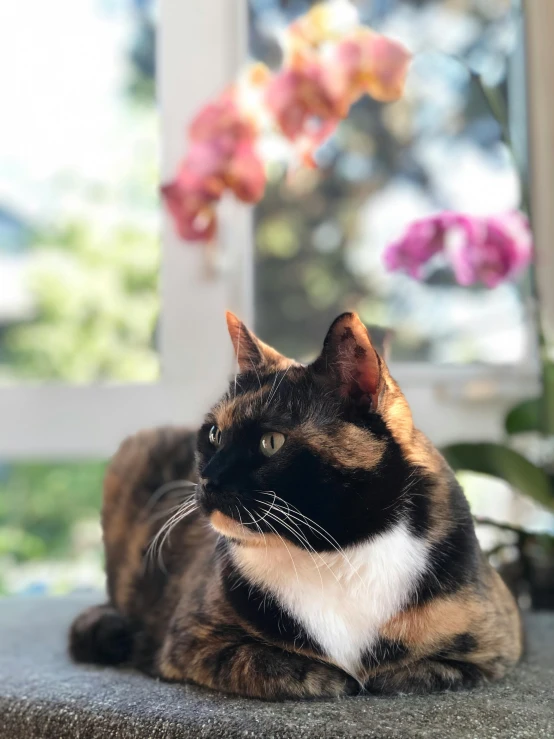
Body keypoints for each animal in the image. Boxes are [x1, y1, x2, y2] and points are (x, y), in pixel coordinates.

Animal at [67, 310, 520, 700]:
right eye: (213, 434)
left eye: (272, 441)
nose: (208, 480)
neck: (333, 554)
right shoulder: (191, 639)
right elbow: (272, 665)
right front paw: (335, 678)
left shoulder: (498, 640)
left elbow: (428, 670)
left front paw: (385, 676)